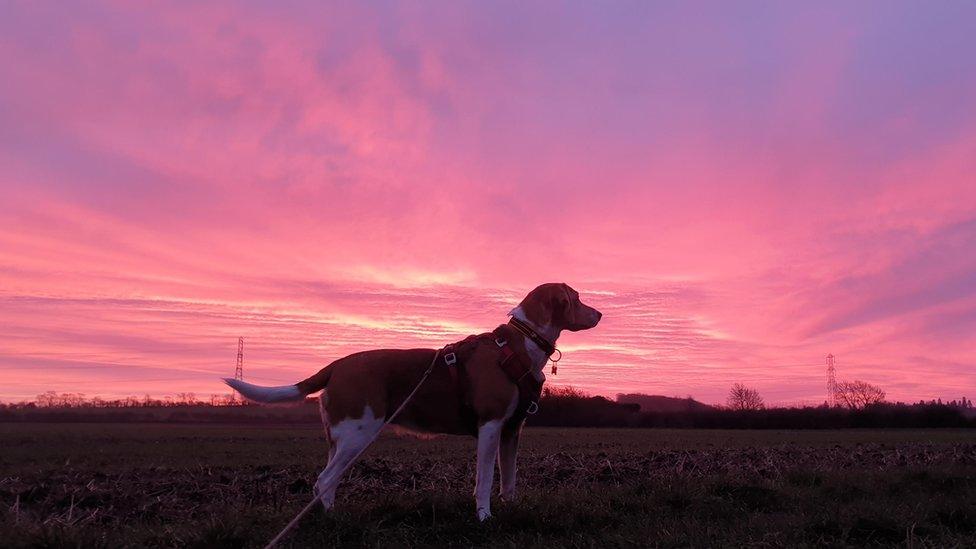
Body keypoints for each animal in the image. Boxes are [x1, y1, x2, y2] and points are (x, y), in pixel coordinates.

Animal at [225, 282, 600, 520]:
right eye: (577, 298)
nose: (599, 314)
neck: (522, 343)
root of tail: (337, 365)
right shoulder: (491, 427)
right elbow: (484, 481)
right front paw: (484, 517)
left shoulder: (511, 432)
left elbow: (509, 480)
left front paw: (510, 510)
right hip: (358, 436)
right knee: (323, 480)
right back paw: (333, 520)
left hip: (342, 439)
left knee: (327, 480)